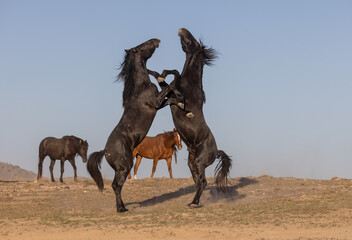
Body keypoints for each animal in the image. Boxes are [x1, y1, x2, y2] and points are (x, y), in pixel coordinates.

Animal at [87, 38, 187, 213]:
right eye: (142, 46)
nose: (156, 40)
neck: (140, 87)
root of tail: (105, 151)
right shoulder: (156, 102)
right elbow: (170, 88)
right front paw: (178, 96)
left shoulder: (159, 104)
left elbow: (171, 98)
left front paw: (183, 104)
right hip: (125, 166)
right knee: (116, 186)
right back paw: (121, 209)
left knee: (117, 186)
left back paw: (122, 207)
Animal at [153, 28, 232, 207]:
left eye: (194, 41)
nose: (182, 30)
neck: (190, 83)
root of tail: (216, 151)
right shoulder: (169, 92)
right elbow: (166, 82)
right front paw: (160, 75)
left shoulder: (175, 92)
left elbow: (175, 76)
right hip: (192, 162)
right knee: (198, 182)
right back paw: (193, 202)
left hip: (199, 161)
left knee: (203, 182)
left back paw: (194, 203)